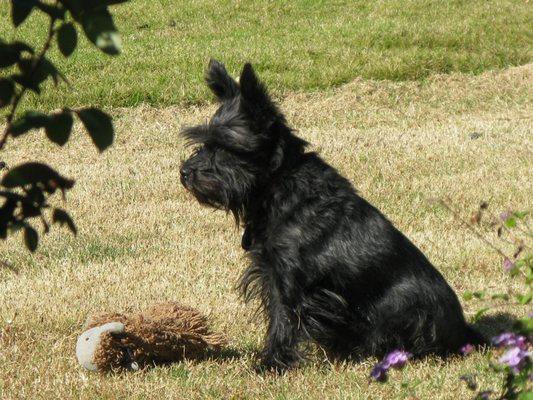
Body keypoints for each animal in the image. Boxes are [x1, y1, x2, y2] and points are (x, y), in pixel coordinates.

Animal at [179, 59, 482, 372]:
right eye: (204, 144)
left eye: (225, 148)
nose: (185, 172)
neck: (279, 185)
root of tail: (466, 333)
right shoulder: (270, 272)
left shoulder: (288, 281)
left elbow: (282, 321)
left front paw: (272, 363)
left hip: (407, 308)